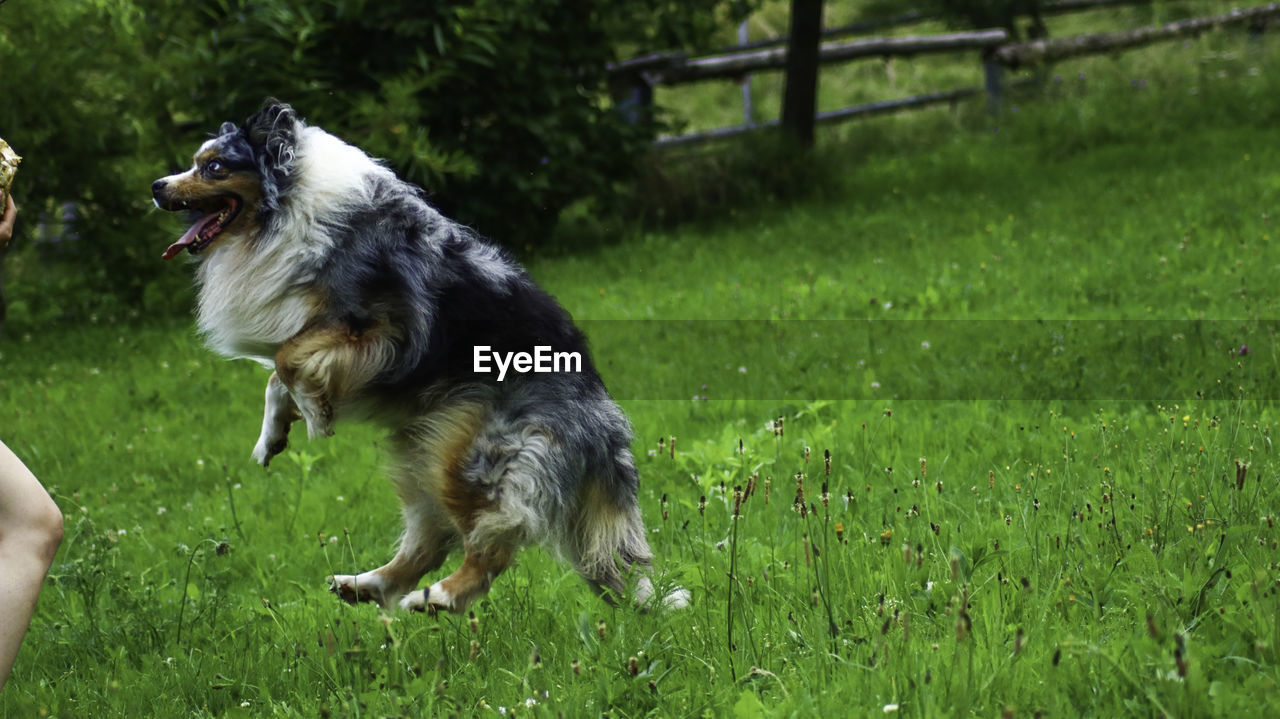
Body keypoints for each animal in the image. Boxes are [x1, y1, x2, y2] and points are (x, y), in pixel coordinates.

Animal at [153, 101, 686, 614]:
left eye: (214, 167)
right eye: (197, 162)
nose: (157, 187)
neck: (286, 205)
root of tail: (605, 422)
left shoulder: (377, 328)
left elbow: (287, 360)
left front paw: (315, 414)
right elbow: (277, 378)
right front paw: (272, 438)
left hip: (479, 456)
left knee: (495, 539)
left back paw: (440, 598)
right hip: (425, 447)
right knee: (430, 540)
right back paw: (365, 586)